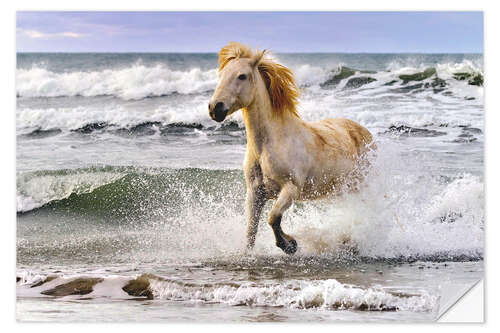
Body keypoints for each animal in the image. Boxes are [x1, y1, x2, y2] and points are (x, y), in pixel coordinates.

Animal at [208, 42, 376, 254]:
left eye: (242, 76)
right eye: (221, 75)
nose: (215, 108)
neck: (268, 145)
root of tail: (365, 133)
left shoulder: (290, 189)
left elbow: (272, 218)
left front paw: (289, 245)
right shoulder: (255, 193)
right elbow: (251, 229)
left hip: (360, 185)